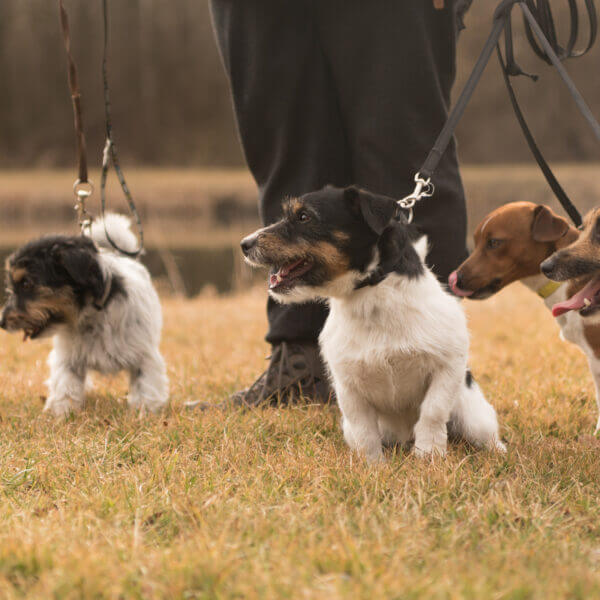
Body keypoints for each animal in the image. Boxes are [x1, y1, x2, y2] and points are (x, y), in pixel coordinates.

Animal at [0, 216, 169, 418]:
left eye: (26, 283)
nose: (2, 322)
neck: (93, 317)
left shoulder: (145, 357)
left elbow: (146, 387)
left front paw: (144, 414)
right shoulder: (68, 360)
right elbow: (65, 387)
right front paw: (63, 415)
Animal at [241, 185, 504, 462]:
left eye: (304, 217)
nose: (244, 244)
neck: (371, 295)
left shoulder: (447, 366)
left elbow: (433, 412)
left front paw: (428, 456)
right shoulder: (348, 386)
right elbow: (363, 430)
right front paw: (372, 465)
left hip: (474, 417)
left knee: (482, 434)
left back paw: (496, 451)